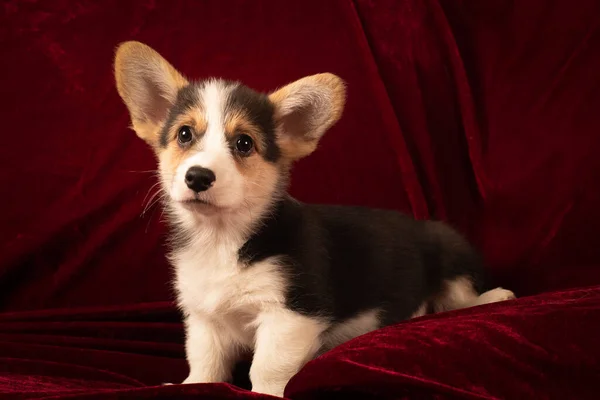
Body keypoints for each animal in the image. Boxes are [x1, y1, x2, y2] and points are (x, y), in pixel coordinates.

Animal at [113, 40, 516, 396]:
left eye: (244, 143)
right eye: (184, 134)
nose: (197, 177)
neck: (223, 238)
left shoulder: (292, 313)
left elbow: (267, 367)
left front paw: (267, 393)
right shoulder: (204, 319)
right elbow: (205, 362)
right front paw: (192, 386)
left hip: (451, 253)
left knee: (459, 303)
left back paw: (495, 296)